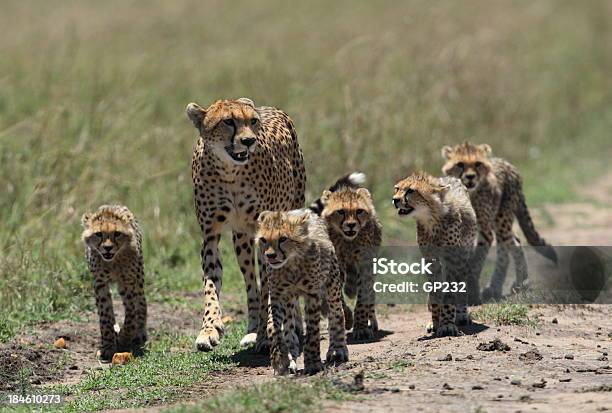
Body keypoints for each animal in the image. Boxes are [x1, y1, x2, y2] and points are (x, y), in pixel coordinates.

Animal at [80, 204, 146, 358]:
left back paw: (139, 332)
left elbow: (131, 313)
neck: (113, 262)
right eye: (98, 234)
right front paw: (108, 345)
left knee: (141, 303)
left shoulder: (128, 282)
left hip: (138, 279)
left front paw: (124, 337)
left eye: (117, 233)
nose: (108, 248)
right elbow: (105, 314)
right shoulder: (100, 283)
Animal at [184, 97, 304, 350]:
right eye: (228, 121)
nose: (249, 141)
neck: (230, 172)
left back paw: (289, 328)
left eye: (253, 121)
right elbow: (211, 286)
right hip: (242, 240)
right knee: (251, 283)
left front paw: (269, 332)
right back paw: (253, 331)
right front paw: (209, 329)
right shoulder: (210, 235)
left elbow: (269, 288)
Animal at [394, 171, 476, 334]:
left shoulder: (452, 260)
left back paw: (462, 315)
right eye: (397, 188)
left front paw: (447, 324)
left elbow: (450, 290)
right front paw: (435, 321)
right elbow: (435, 289)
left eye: (410, 191)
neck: (431, 219)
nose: (395, 200)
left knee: (462, 283)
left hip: (464, 256)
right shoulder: (430, 259)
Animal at [442, 143, 556, 300]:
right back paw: (511, 284)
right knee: (513, 241)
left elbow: (476, 262)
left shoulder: (485, 231)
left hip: (502, 218)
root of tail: (509, 164)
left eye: (478, 164)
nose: (470, 177)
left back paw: (510, 285)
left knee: (508, 247)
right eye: (460, 164)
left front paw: (471, 292)